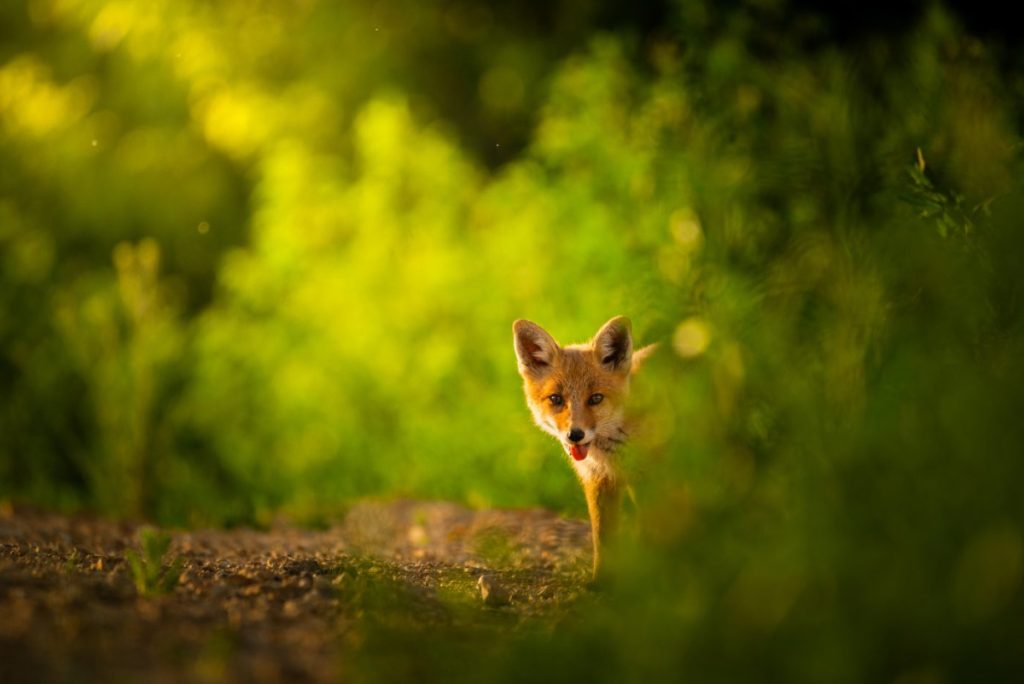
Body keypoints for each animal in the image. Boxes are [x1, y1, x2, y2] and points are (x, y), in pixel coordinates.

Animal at [513, 316, 655, 580]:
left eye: (596, 398)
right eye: (556, 399)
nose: (575, 435)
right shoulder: (598, 479)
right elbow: (603, 540)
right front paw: (602, 581)